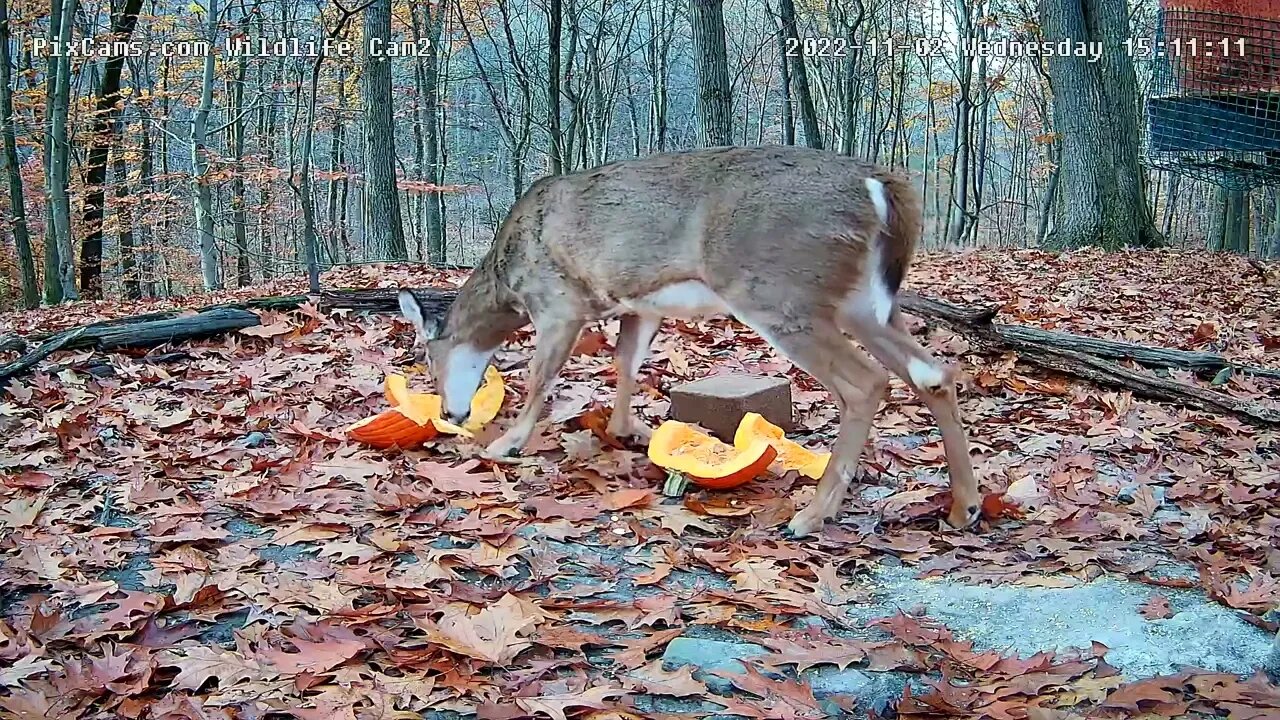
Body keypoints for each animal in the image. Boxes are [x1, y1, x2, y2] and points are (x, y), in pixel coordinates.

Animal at [396, 144, 977, 532]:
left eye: (427, 358)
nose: (450, 413)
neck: (508, 276)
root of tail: (881, 187)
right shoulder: (638, 306)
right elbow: (626, 364)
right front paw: (626, 430)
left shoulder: (559, 301)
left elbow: (542, 377)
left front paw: (508, 443)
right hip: (865, 302)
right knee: (933, 371)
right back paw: (963, 507)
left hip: (776, 289)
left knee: (866, 382)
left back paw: (811, 515)